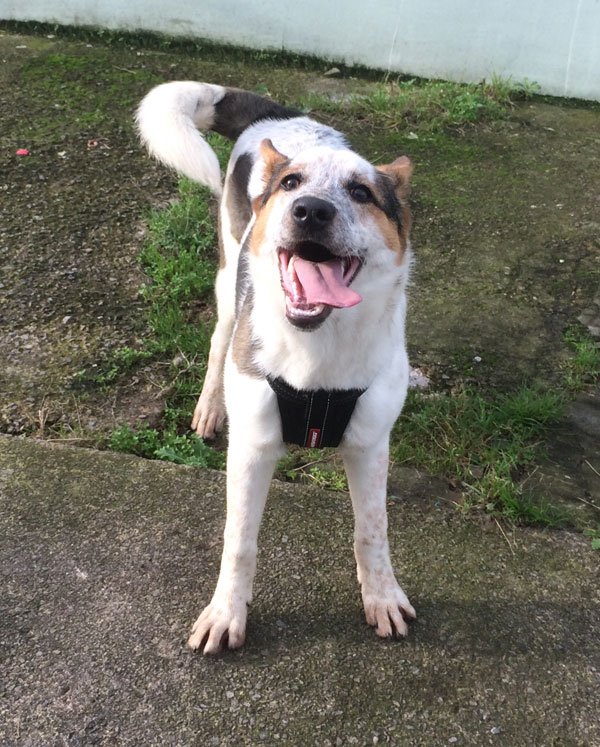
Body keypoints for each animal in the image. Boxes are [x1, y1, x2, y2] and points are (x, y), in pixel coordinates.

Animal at [137, 83, 418, 656]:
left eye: (361, 193)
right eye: (291, 184)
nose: (310, 210)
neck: (317, 349)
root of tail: (278, 118)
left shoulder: (370, 446)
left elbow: (372, 531)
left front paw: (381, 597)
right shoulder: (252, 448)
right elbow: (239, 540)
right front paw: (227, 612)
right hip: (229, 281)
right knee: (218, 342)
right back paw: (208, 407)